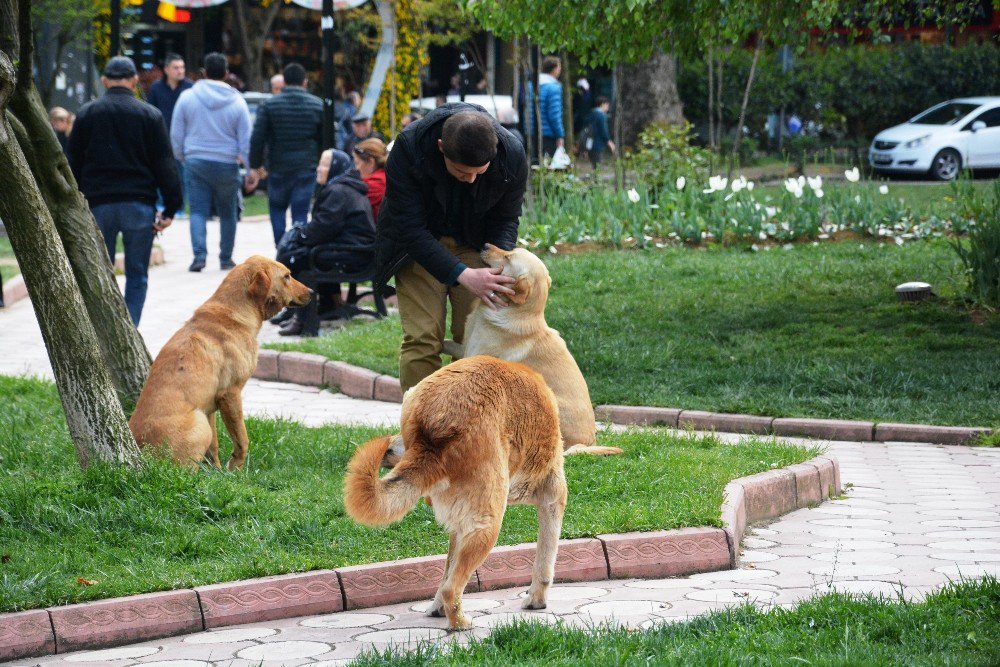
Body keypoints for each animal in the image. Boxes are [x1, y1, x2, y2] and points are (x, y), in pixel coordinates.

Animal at [131, 256, 308, 470]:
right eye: (287, 276)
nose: (312, 293)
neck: (234, 311)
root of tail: (146, 455)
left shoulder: (211, 406)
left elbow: (214, 447)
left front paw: (218, 471)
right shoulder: (230, 394)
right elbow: (242, 439)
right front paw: (235, 468)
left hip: (203, 417)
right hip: (199, 422)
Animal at [344, 358, 568, 628]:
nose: (388, 447)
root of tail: (436, 423)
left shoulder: (458, 525)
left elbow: (447, 570)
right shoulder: (553, 497)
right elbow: (545, 560)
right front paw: (537, 600)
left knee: (448, 583)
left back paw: (443, 611)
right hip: (487, 525)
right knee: (453, 589)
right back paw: (461, 624)